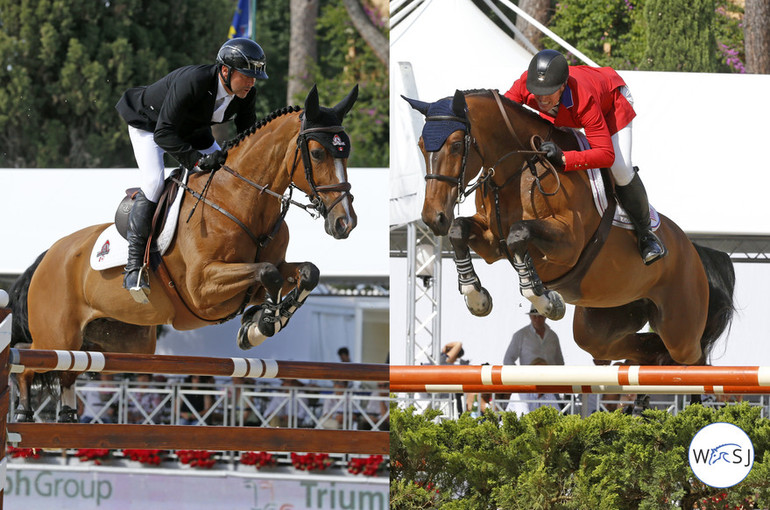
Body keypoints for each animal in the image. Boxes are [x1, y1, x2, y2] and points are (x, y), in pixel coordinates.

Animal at [9, 84, 356, 422]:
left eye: (346, 152)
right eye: (317, 153)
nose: (345, 223)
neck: (240, 200)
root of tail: (48, 255)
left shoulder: (264, 274)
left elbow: (306, 272)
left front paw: (261, 322)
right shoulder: (203, 287)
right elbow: (267, 273)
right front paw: (264, 323)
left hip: (119, 343)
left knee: (66, 373)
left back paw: (67, 414)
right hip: (57, 337)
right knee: (26, 362)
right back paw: (23, 411)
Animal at [402, 89, 732, 368]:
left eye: (457, 145)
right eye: (421, 145)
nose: (433, 217)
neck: (517, 171)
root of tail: (692, 250)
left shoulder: (568, 244)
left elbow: (520, 233)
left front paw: (547, 301)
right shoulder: (492, 242)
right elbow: (459, 229)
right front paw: (476, 297)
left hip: (681, 326)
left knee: (692, 355)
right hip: (604, 322)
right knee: (637, 347)